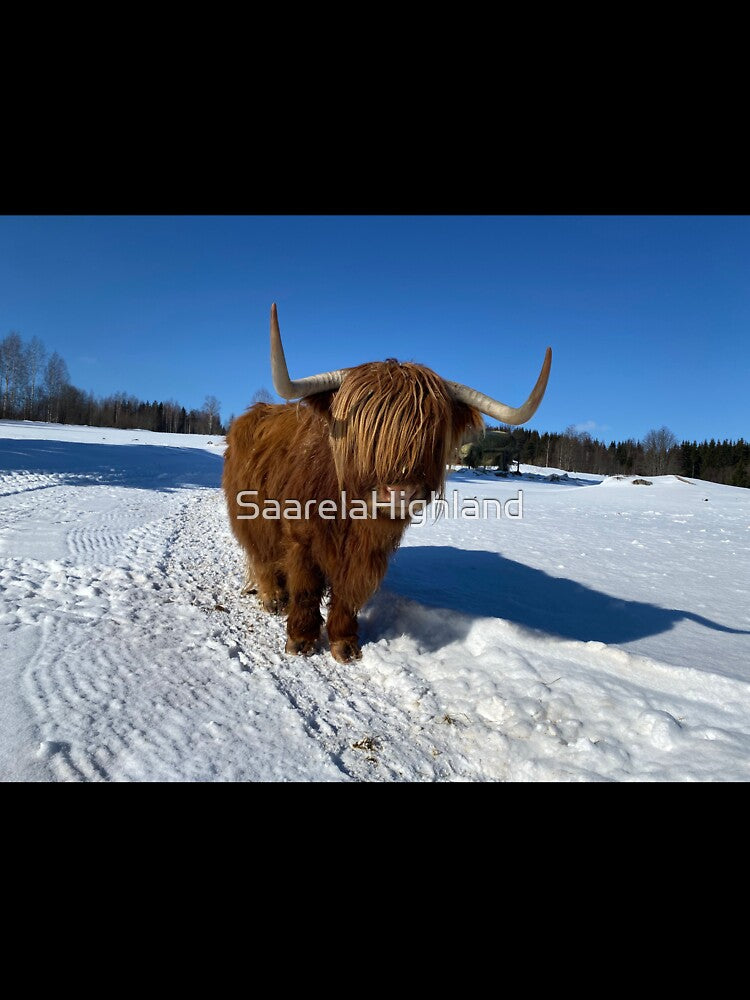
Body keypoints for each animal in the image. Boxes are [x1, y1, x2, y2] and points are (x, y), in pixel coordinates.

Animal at [222, 304, 551, 663]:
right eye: (366, 429)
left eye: (431, 434)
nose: (399, 493)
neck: (348, 511)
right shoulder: (301, 538)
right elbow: (306, 588)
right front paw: (301, 639)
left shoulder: (368, 553)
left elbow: (349, 593)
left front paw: (344, 644)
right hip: (251, 515)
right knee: (261, 555)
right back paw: (272, 598)